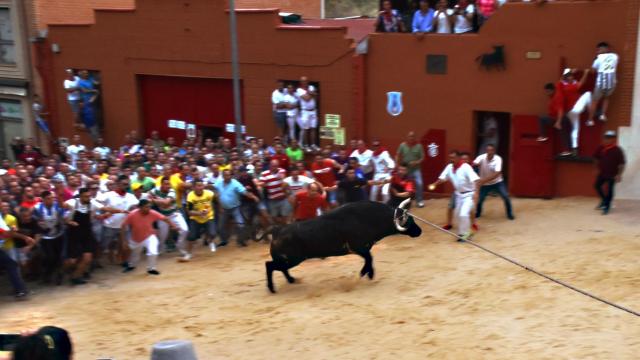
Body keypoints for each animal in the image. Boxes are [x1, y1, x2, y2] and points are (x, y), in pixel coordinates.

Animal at [268, 201, 422, 294]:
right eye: (408, 222)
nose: (419, 231)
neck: (369, 218)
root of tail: (277, 230)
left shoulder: (363, 249)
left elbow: (369, 259)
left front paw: (368, 273)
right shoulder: (359, 248)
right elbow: (369, 259)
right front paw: (366, 274)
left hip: (290, 260)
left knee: (279, 268)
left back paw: (291, 280)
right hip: (292, 259)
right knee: (270, 265)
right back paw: (272, 288)